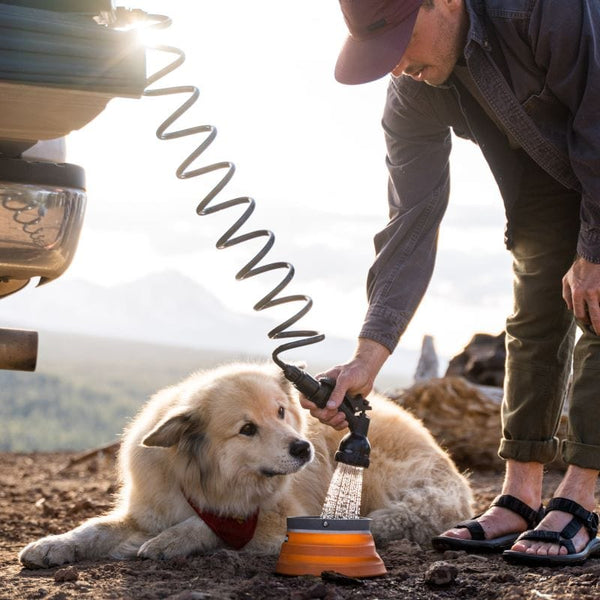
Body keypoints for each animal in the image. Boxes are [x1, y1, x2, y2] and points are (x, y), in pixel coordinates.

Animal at [19, 360, 474, 568]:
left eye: (280, 412)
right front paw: (52, 545)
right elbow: (94, 529)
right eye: (247, 429)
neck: (202, 478)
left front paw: (169, 542)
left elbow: (212, 524)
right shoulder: (148, 510)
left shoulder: (275, 518)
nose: (303, 449)